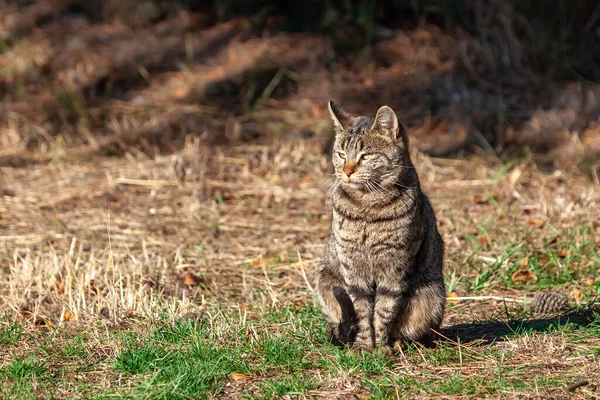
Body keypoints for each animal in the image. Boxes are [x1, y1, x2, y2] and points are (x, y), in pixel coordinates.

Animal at [314, 101, 446, 350]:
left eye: (366, 156)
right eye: (341, 154)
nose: (347, 171)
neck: (368, 207)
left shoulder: (394, 267)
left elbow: (384, 310)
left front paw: (382, 348)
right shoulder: (352, 267)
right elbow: (361, 310)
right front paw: (364, 346)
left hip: (432, 293)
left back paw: (399, 343)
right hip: (325, 279)